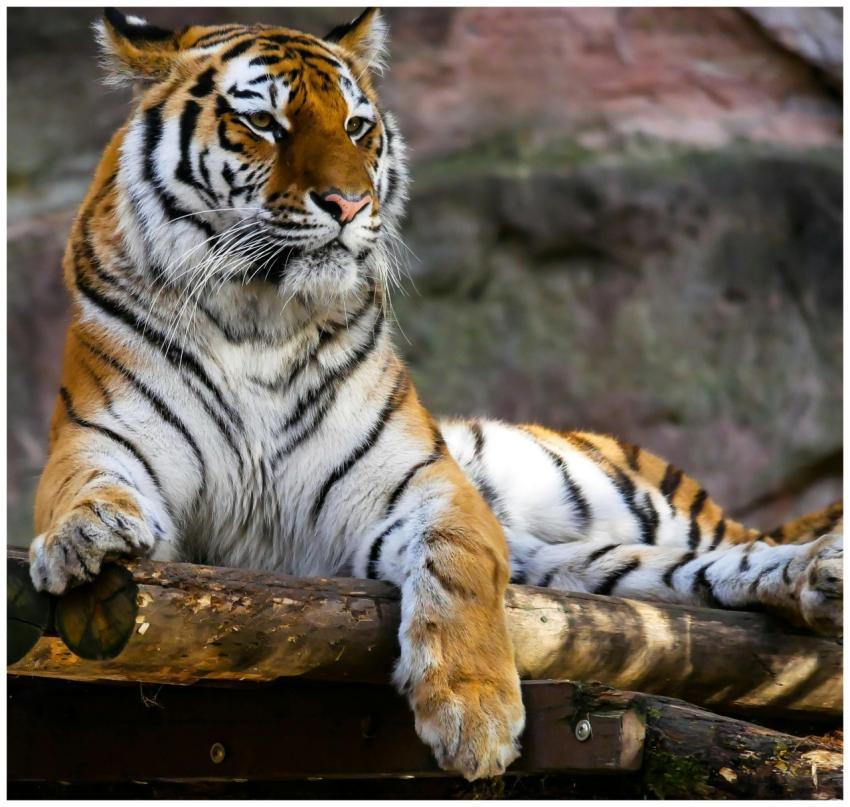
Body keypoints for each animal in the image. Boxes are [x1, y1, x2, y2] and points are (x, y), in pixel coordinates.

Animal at [28, 8, 842, 781]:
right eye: (264, 124)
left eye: (357, 128)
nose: (347, 204)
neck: (259, 318)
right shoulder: (101, 440)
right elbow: (82, 488)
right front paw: (84, 536)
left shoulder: (425, 484)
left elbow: (458, 568)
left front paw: (474, 715)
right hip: (598, 565)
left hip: (628, 500)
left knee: (744, 544)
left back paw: (820, 566)